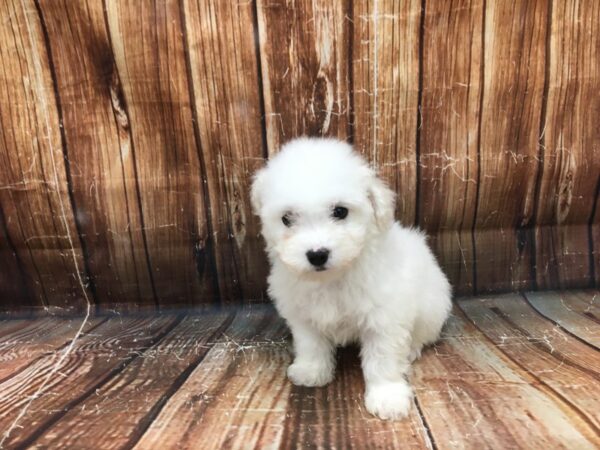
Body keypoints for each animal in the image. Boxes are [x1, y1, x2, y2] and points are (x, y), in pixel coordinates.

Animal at [250, 137, 450, 418]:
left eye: (340, 211)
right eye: (287, 218)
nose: (317, 254)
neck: (333, 278)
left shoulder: (384, 319)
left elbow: (383, 359)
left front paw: (387, 397)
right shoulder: (302, 315)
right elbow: (311, 344)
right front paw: (311, 371)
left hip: (432, 306)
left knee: (423, 334)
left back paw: (411, 349)